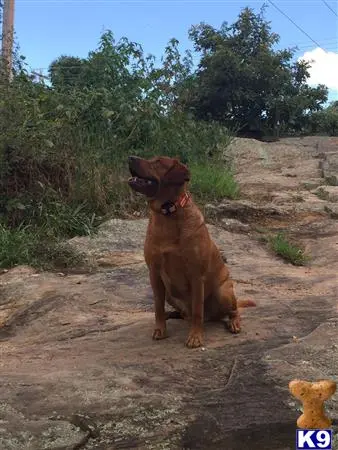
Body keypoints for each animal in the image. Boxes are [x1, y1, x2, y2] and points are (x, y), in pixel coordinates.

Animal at [128, 155, 255, 348]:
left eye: (157, 162)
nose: (130, 158)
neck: (168, 213)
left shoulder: (196, 276)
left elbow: (197, 310)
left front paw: (195, 336)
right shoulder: (154, 274)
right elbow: (158, 307)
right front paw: (160, 329)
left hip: (223, 292)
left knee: (232, 311)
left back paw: (233, 322)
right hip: (169, 293)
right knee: (179, 312)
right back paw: (171, 315)